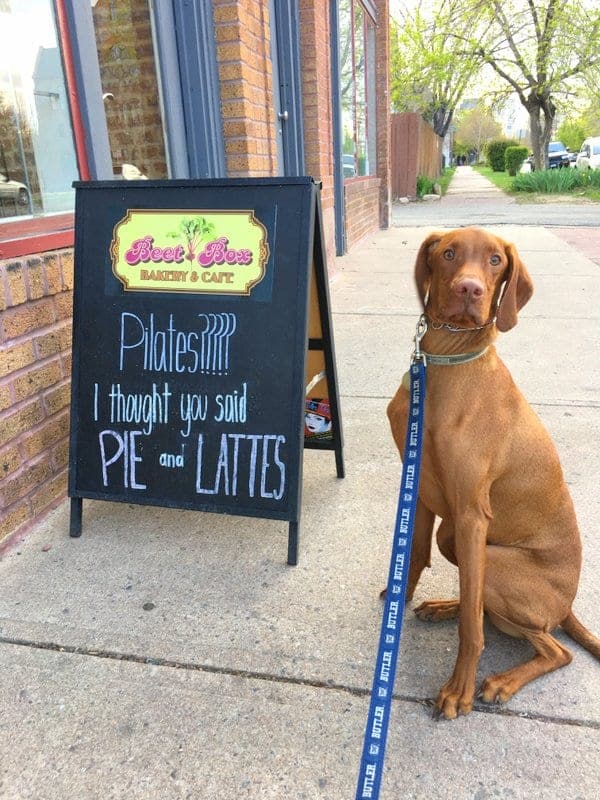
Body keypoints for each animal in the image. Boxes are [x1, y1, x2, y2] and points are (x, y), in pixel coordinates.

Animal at [386, 225, 596, 720]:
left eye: (496, 260)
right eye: (448, 253)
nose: (470, 289)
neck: (445, 362)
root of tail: (568, 605)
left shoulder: (470, 514)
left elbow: (471, 629)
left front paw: (457, 691)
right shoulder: (418, 488)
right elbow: (414, 556)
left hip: (492, 558)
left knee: (557, 649)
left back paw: (500, 682)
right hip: (455, 538)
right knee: (479, 602)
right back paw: (445, 606)